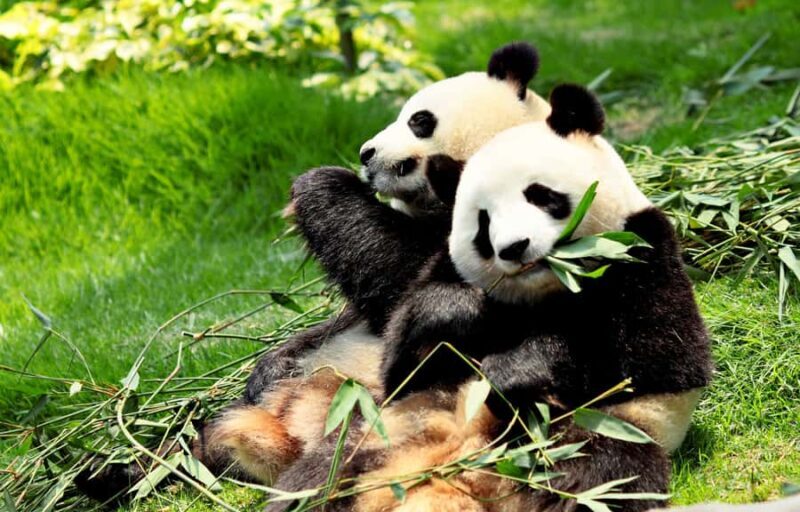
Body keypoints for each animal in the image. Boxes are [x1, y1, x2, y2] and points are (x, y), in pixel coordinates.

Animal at [263, 84, 712, 512]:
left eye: (540, 195)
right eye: (483, 222)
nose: (514, 248)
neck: (546, 291)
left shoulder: (642, 252)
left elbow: (656, 359)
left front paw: (516, 370)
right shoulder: (442, 270)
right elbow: (401, 361)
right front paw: (455, 313)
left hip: (593, 432)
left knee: (596, 476)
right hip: (383, 429)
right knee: (319, 478)